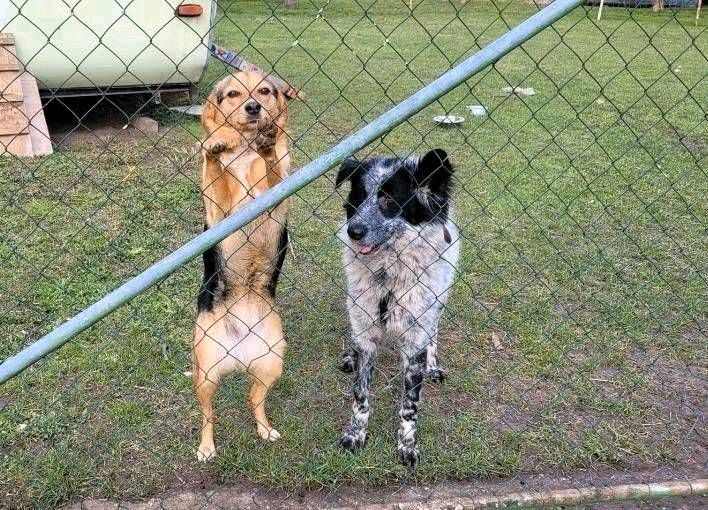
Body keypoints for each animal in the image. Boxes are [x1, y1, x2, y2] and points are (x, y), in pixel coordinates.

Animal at [192, 70, 290, 462]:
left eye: (264, 90)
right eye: (233, 94)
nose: (253, 108)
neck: (247, 152)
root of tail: (239, 354)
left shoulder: (278, 193)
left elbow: (274, 167)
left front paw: (268, 145)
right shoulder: (219, 211)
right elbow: (214, 167)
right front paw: (217, 145)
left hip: (272, 363)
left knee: (254, 401)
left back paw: (265, 429)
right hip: (205, 374)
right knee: (208, 415)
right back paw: (206, 447)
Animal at [336, 146, 462, 466]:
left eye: (389, 199)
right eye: (359, 196)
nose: (354, 231)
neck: (387, 276)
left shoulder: (416, 336)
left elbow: (409, 405)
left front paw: (407, 445)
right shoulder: (366, 326)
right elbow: (360, 394)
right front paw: (356, 434)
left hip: (438, 303)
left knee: (434, 333)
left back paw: (433, 365)